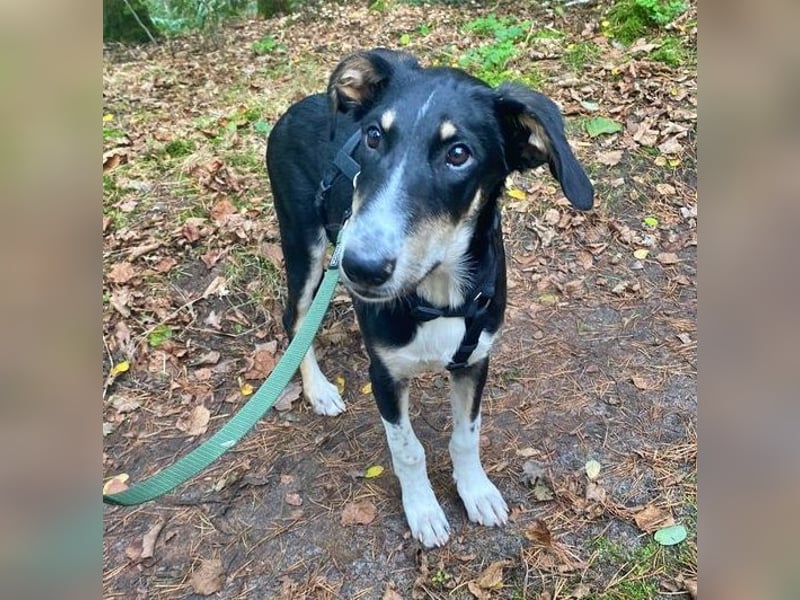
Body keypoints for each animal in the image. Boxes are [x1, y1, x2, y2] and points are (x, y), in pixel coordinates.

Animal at [266, 49, 592, 548]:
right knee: (295, 318)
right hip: (304, 243)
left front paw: (475, 491)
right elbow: (408, 450)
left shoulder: (476, 360)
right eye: (374, 137)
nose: (361, 266)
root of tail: (292, 109)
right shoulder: (383, 375)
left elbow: (466, 436)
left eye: (459, 154)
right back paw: (318, 389)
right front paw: (423, 510)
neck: (438, 292)